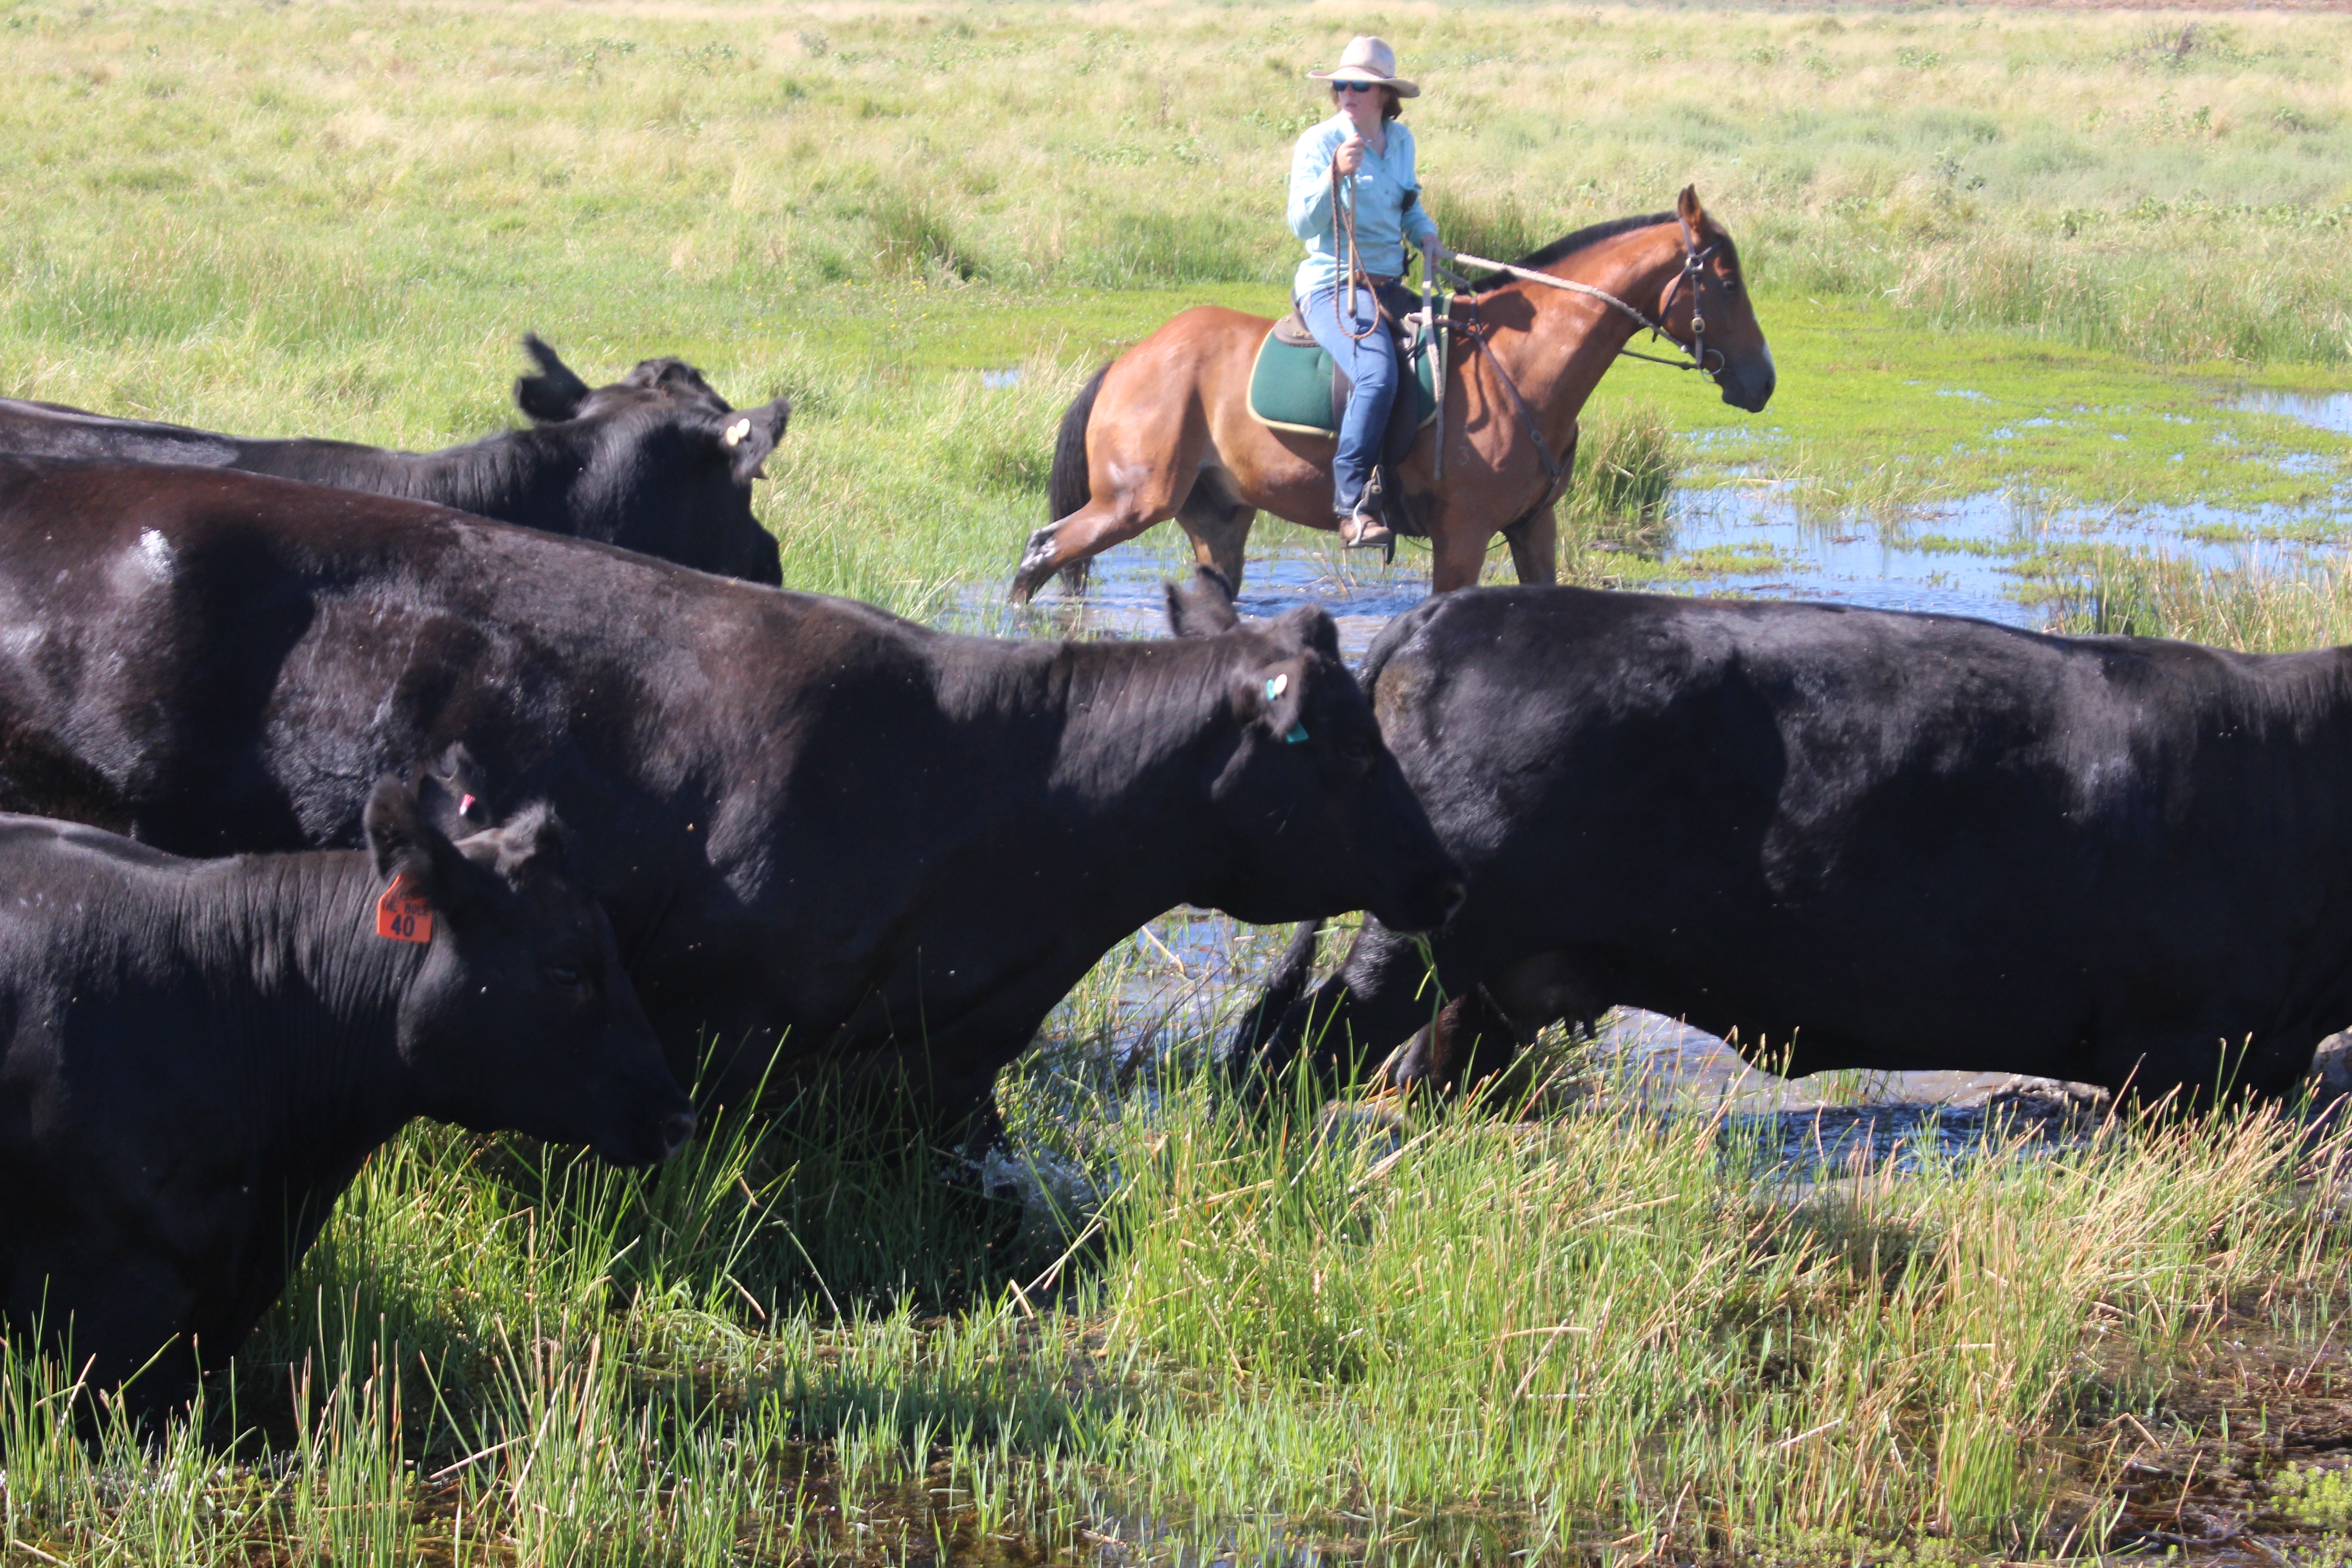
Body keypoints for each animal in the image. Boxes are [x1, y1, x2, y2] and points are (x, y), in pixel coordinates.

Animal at [1007, 186, 1769, 602]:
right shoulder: (1463, 535)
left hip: (1216, 518)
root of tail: (1128, 362)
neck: (1521, 365)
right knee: (1043, 554)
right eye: (1728, 281)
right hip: (1132, 502)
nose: (1763, 381)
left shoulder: (1534, 527)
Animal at [1223, 583, 2352, 1109]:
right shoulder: (2188, 1056)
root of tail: (1449, 613)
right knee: (1293, 1045)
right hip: (1419, 937)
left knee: (1433, 1065)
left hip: (1493, 972)